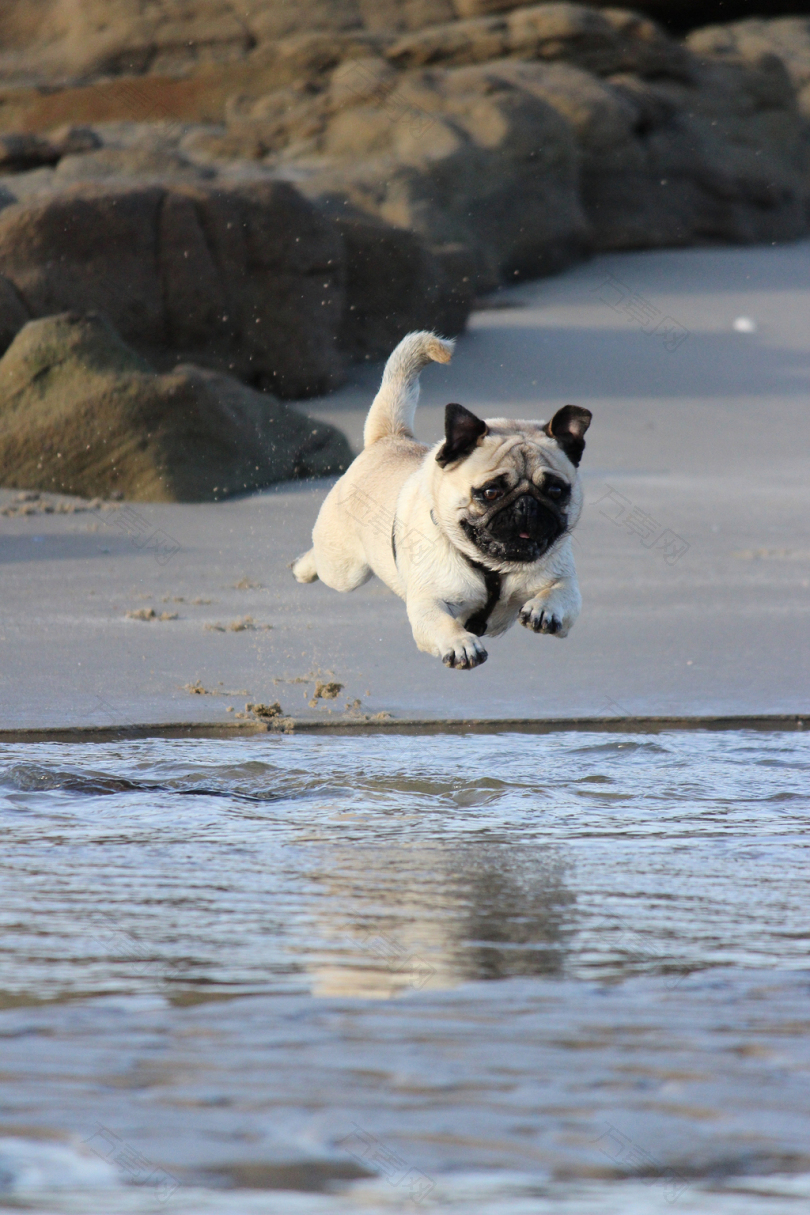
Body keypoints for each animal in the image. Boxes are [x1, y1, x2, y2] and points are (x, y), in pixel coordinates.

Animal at [291, 330, 590, 675]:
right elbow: (442, 623)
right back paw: (302, 568)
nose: (527, 504)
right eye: (491, 492)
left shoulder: (565, 585)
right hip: (345, 569)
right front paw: (461, 645)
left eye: (555, 490)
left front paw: (544, 610)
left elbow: (559, 593)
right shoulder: (427, 604)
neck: (494, 569)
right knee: (324, 563)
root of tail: (390, 438)